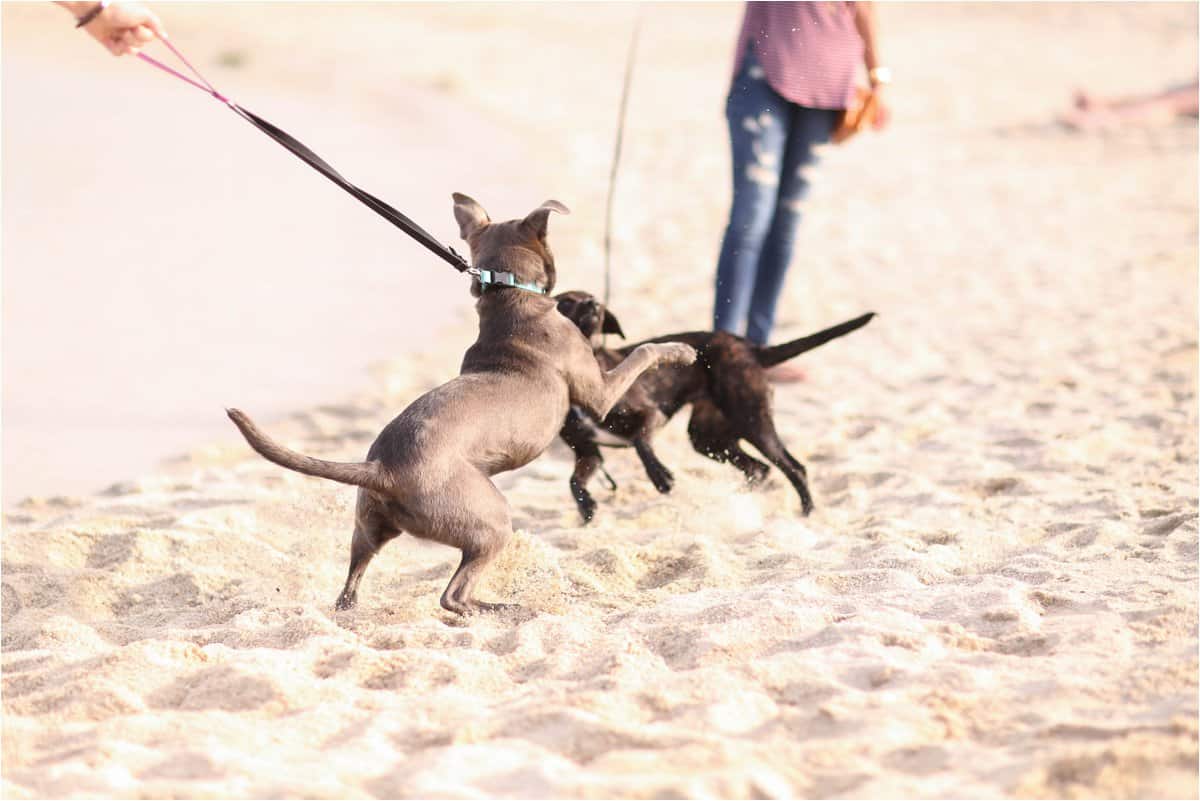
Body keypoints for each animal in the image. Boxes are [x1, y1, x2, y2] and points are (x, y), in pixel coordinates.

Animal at [226, 191, 696, 613]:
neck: (510, 296)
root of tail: (382, 469)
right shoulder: (599, 393)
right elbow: (644, 352)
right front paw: (681, 351)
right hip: (491, 521)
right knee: (452, 595)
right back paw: (496, 608)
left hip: (370, 528)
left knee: (352, 582)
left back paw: (355, 608)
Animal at [552, 291, 873, 522]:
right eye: (566, 301)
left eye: (593, 299)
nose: (593, 303)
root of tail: (749, 348)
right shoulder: (588, 452)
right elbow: (573, 482)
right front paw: (586, 507)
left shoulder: (652, 413)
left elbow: (641, 443)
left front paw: (660, 477)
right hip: (708, 437)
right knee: (759, 469)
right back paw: (741, 498)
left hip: (752, 420)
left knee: (794, 467)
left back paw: (806, 514)